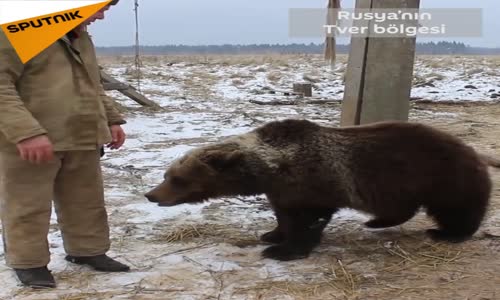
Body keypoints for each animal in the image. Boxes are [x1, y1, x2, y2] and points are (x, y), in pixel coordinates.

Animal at [145, 119, 496, 260]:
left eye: (176, 178)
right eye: (167, 174)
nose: (151, 195)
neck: (268, 169)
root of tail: (472, 149)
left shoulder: (313, 183)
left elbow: (308, 219)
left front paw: (283, 250)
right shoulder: (282, 190)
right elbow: (283, 215)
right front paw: (272, 235)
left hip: (438, 174)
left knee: (457, 207)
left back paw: (448, 233)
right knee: (399, 206)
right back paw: (376, 222)